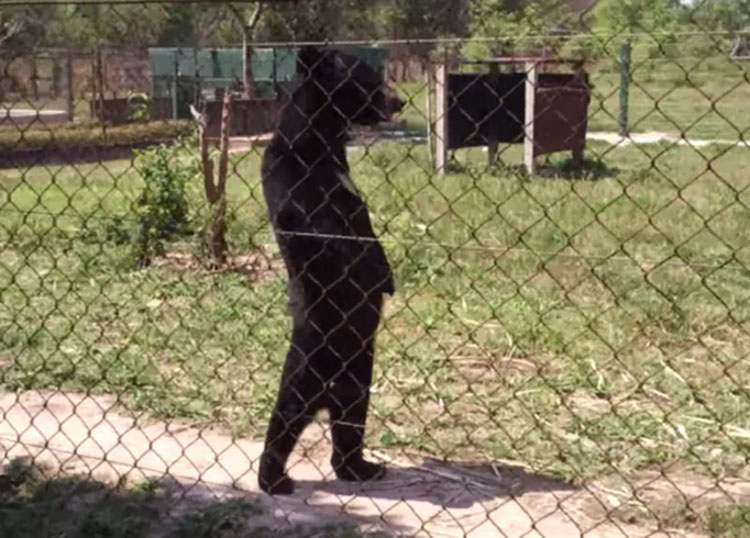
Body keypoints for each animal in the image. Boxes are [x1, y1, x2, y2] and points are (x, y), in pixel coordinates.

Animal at [262, 47, 408, 494]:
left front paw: (387, 277)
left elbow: (365, 226)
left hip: (359, 372)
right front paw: (381, 276)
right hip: (309, 363)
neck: (321, 142)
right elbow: (334, 234)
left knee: (350, 420)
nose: (400, 101)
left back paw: (361, 468)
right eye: (369, 81)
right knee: (286, 415)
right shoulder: (293, 181)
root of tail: (326, 393)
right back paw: (273, 479)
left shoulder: (345, 179)